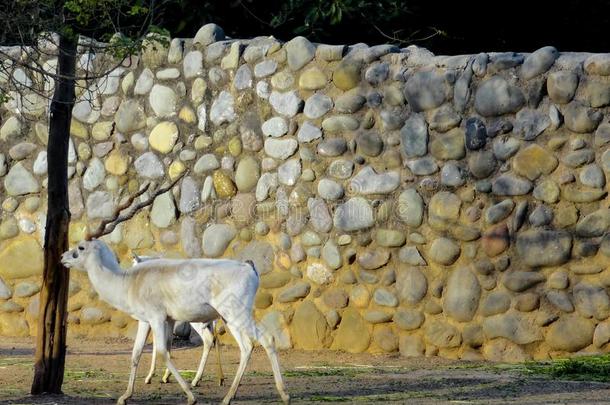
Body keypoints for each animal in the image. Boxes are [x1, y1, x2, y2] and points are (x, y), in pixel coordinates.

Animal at [60, 179, 288, 404]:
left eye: (80, 248)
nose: (62, 257)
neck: (128, 281)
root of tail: (249, 267)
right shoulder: (153, 321)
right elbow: (137, 353)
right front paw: (125, 396)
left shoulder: (157, 318)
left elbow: (162, 352)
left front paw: (190, 396)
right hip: (229, 318)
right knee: (253, 344)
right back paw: (245, 396)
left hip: (235, 315)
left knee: (260, 341)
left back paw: (269, 395)